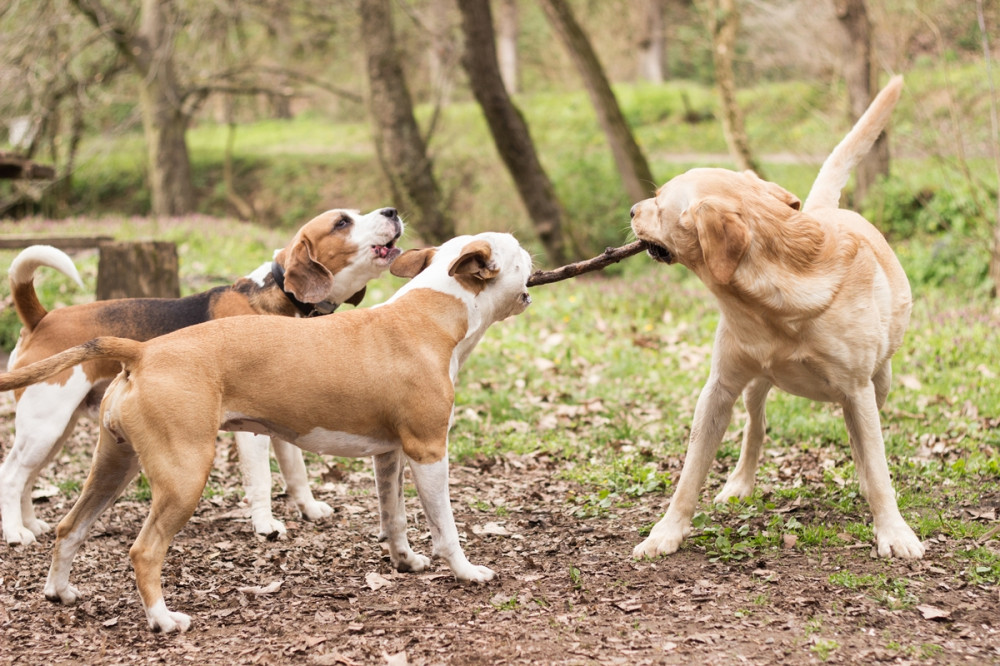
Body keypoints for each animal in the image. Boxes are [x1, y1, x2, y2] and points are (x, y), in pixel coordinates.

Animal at [0, 231, 532, 632]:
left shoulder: (391, 455)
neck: (435, 311)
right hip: (181, 476)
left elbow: (394, 516)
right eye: (517, 248)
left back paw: (60, 590)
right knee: (144, 550)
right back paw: (163, 620)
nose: (533, 257)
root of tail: (143, 351)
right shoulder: (428, 451)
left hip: (114, 466)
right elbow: (446, 527)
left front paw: (405, 562)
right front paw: (465, 572)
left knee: (70, 527)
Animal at [628, 75, 924, 556]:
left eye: (657, 202)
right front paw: (666, 533)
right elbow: (690, 474)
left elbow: (878, 467)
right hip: (755, 385)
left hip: (880, 382)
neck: (772, 305)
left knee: (862, 444)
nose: (632, 211)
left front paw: (895, 532)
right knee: (756, 426)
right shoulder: (717, 390)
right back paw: (740, 482)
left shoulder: (858, 391)